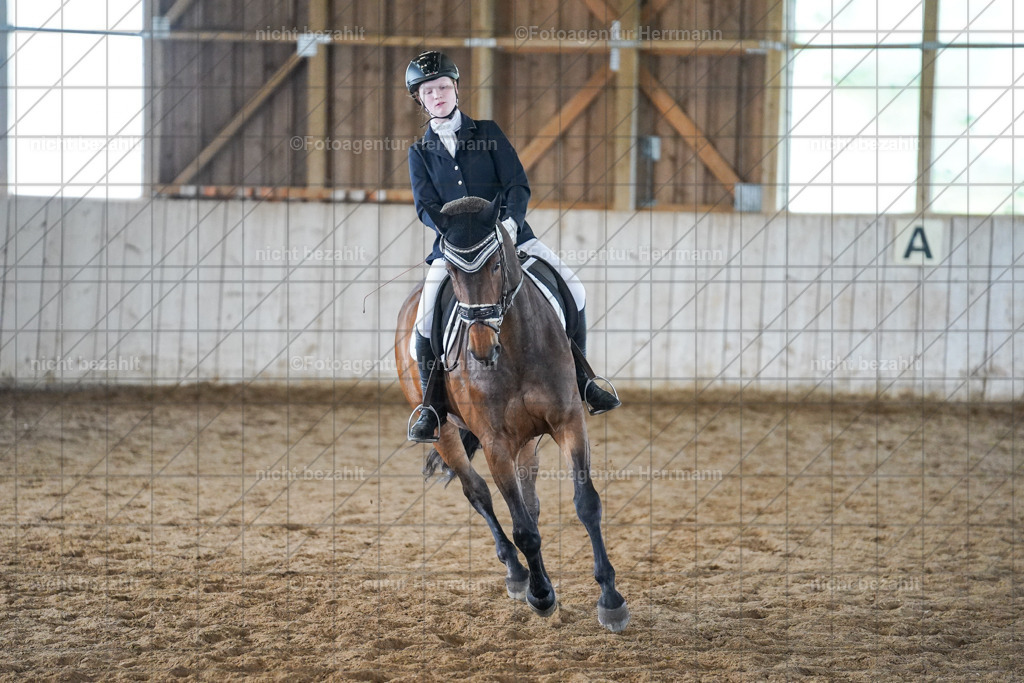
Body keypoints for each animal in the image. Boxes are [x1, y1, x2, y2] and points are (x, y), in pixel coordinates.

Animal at [394, 195, 629, 632]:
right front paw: (541, 596)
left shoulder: (569, 422)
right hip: (448, 432)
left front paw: (611, 599)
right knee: (478, 493)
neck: (515, 348)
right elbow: (522, 529)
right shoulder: (495, 443)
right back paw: (520, 574)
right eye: (451, 270)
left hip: (528, 439)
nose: (481, 349)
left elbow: (586, 504)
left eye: (495, 264)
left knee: (529, 501)